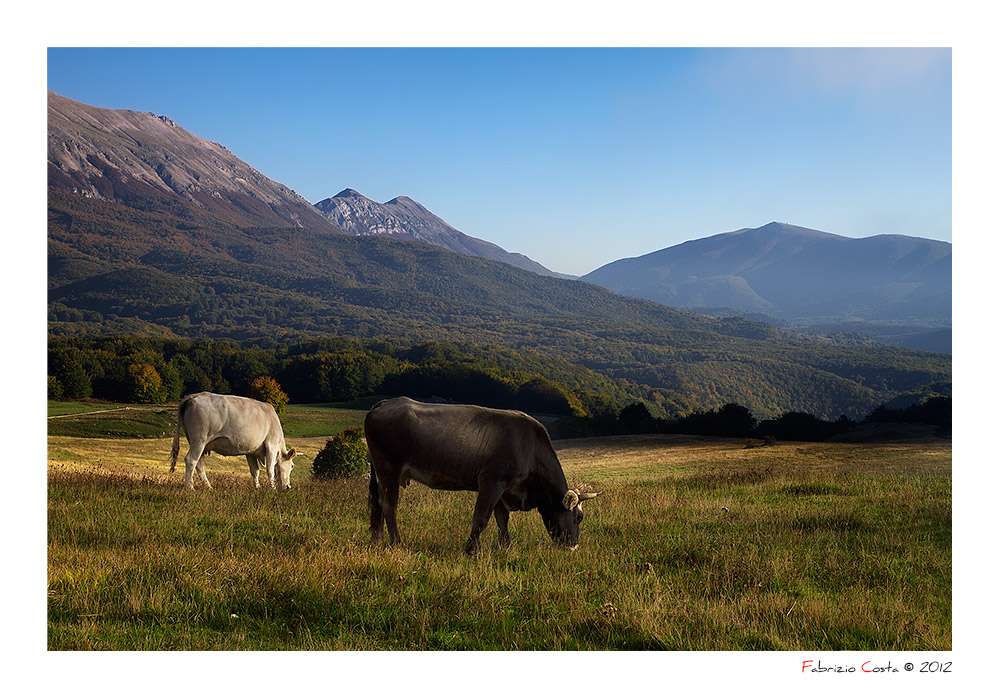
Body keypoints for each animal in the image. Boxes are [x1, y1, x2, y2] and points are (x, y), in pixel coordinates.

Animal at [168, 394, 298, 492]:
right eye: (292, 466)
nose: (288, 487)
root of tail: (194, 396)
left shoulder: (250, 451)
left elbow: (254, 471)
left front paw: (257, 487)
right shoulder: (271, 445)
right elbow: (270, 470)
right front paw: (273, 488)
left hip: (199, 444)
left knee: (199, 464)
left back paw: (208, 486)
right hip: (199, 440)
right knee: (191, 460)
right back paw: (190, 487)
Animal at [368, 396, 600, 556]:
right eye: (579, 517)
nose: (574, 546)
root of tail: (385, 403)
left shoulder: (504, 489)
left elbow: (502, 519)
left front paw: (505, 546)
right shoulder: (492, 481)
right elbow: (481, 517)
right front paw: (471, 550)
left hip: (379, 472)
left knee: (377, 504)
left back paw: (376, 540)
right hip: (388, 469)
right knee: (389, 505)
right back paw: (397, 543)